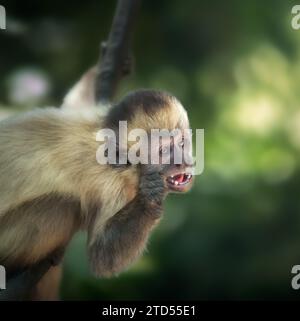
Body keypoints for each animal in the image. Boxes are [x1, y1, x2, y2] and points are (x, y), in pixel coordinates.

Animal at [0, 68, 193, 300]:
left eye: (182, 142)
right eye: (164, 150)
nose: (184, 161)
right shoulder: (112, 181)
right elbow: (102, 258)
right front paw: (150, 197)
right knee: (64, 208)